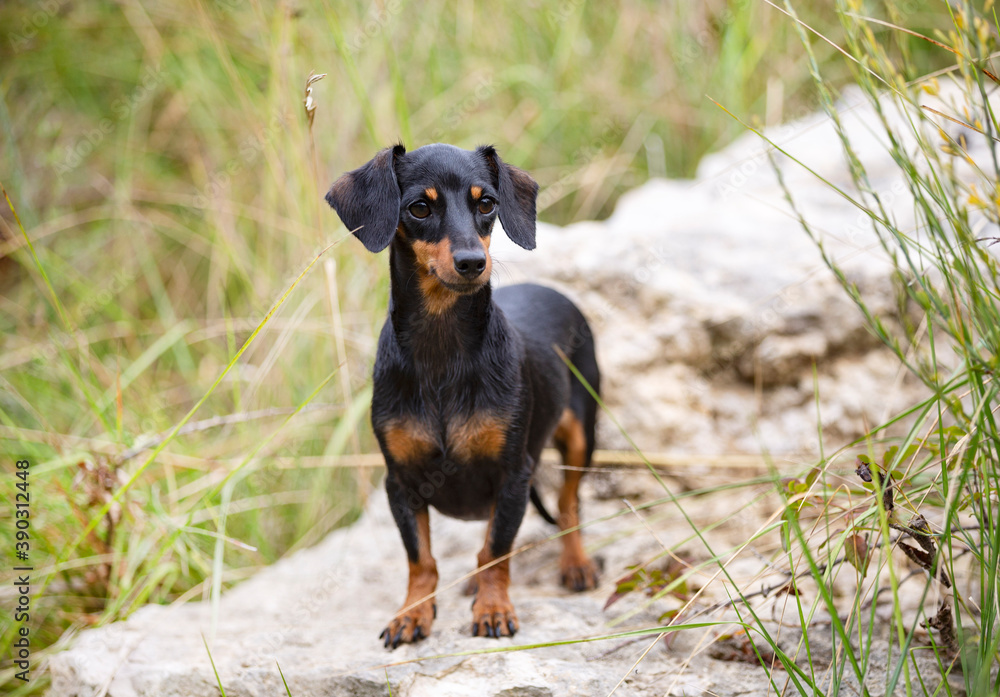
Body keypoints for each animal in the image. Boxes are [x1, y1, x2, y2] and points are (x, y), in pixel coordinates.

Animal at [328, 144, 596, 648]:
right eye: (419, 207)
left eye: (487, 203)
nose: (473, 262)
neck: (442, 352)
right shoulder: (401, 483)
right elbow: (421, 559)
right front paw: (413, 613)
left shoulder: (512, 473)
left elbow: (496, 550)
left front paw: (493, 608)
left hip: (581, 438)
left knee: (568, 505)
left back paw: (576, 564)